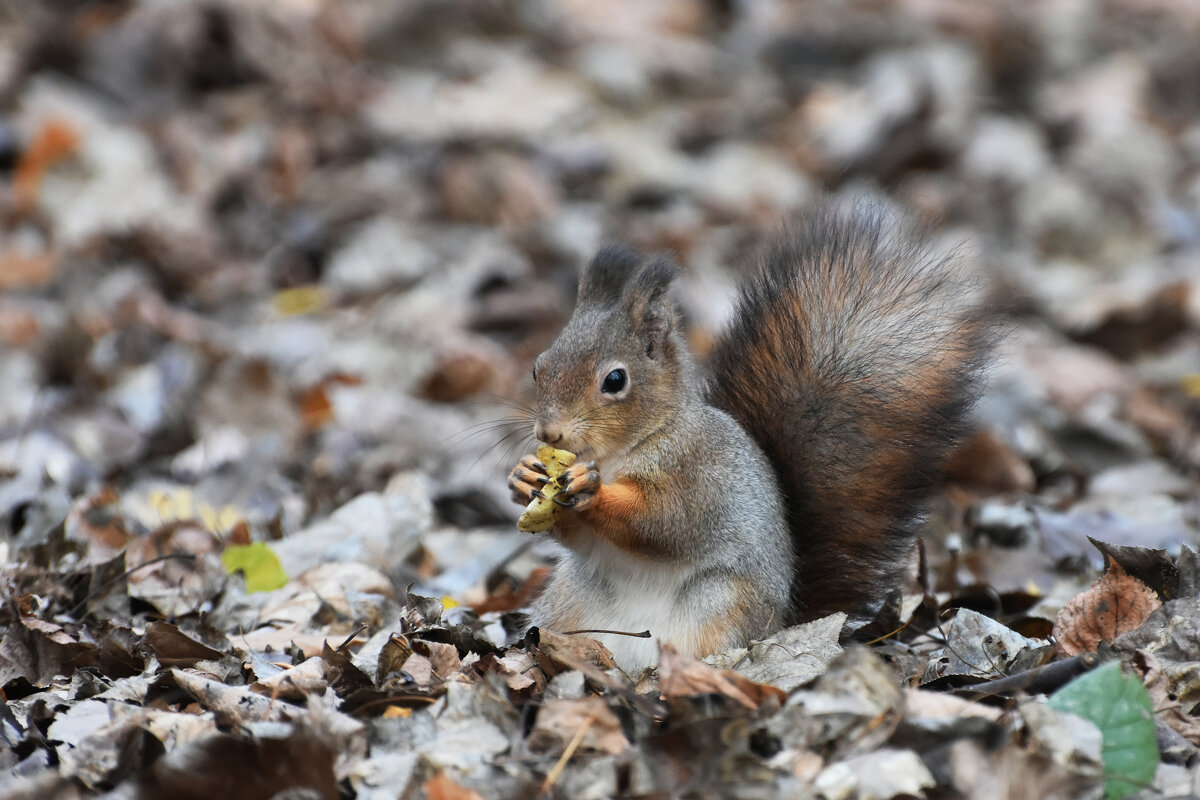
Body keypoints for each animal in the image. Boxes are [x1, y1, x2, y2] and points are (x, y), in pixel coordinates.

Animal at [508, 201, 993, 671]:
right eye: (538, 367)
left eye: (614, 380)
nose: (548, 431)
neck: (618, 452)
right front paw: (524, 476)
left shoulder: (696, 473)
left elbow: (664, 523)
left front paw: (592, 489)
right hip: (572, 600)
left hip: (722, 602)